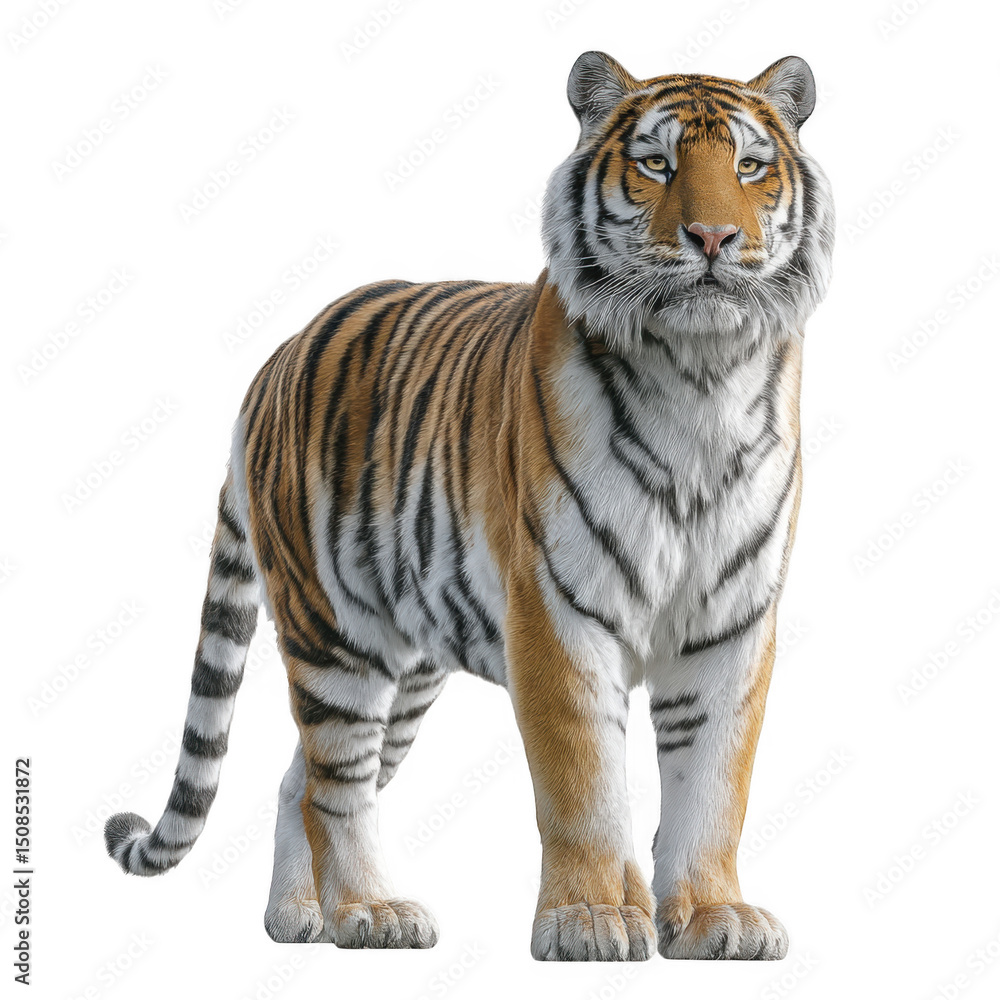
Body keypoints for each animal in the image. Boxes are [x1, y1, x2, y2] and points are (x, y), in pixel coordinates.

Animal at [103, 50, 834, 962]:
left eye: (750, 167)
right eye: (657, 163)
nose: (713, 238)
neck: (702, 375)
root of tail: (277, 355)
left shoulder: (730, 621)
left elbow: (713, 785)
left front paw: (712, 917)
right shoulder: (555, 609)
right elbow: (583, 783)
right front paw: (591, 920)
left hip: (411, 660)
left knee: (298, 778)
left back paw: (298, 918)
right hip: (331, 633)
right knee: (337, 781)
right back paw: (368, 911)